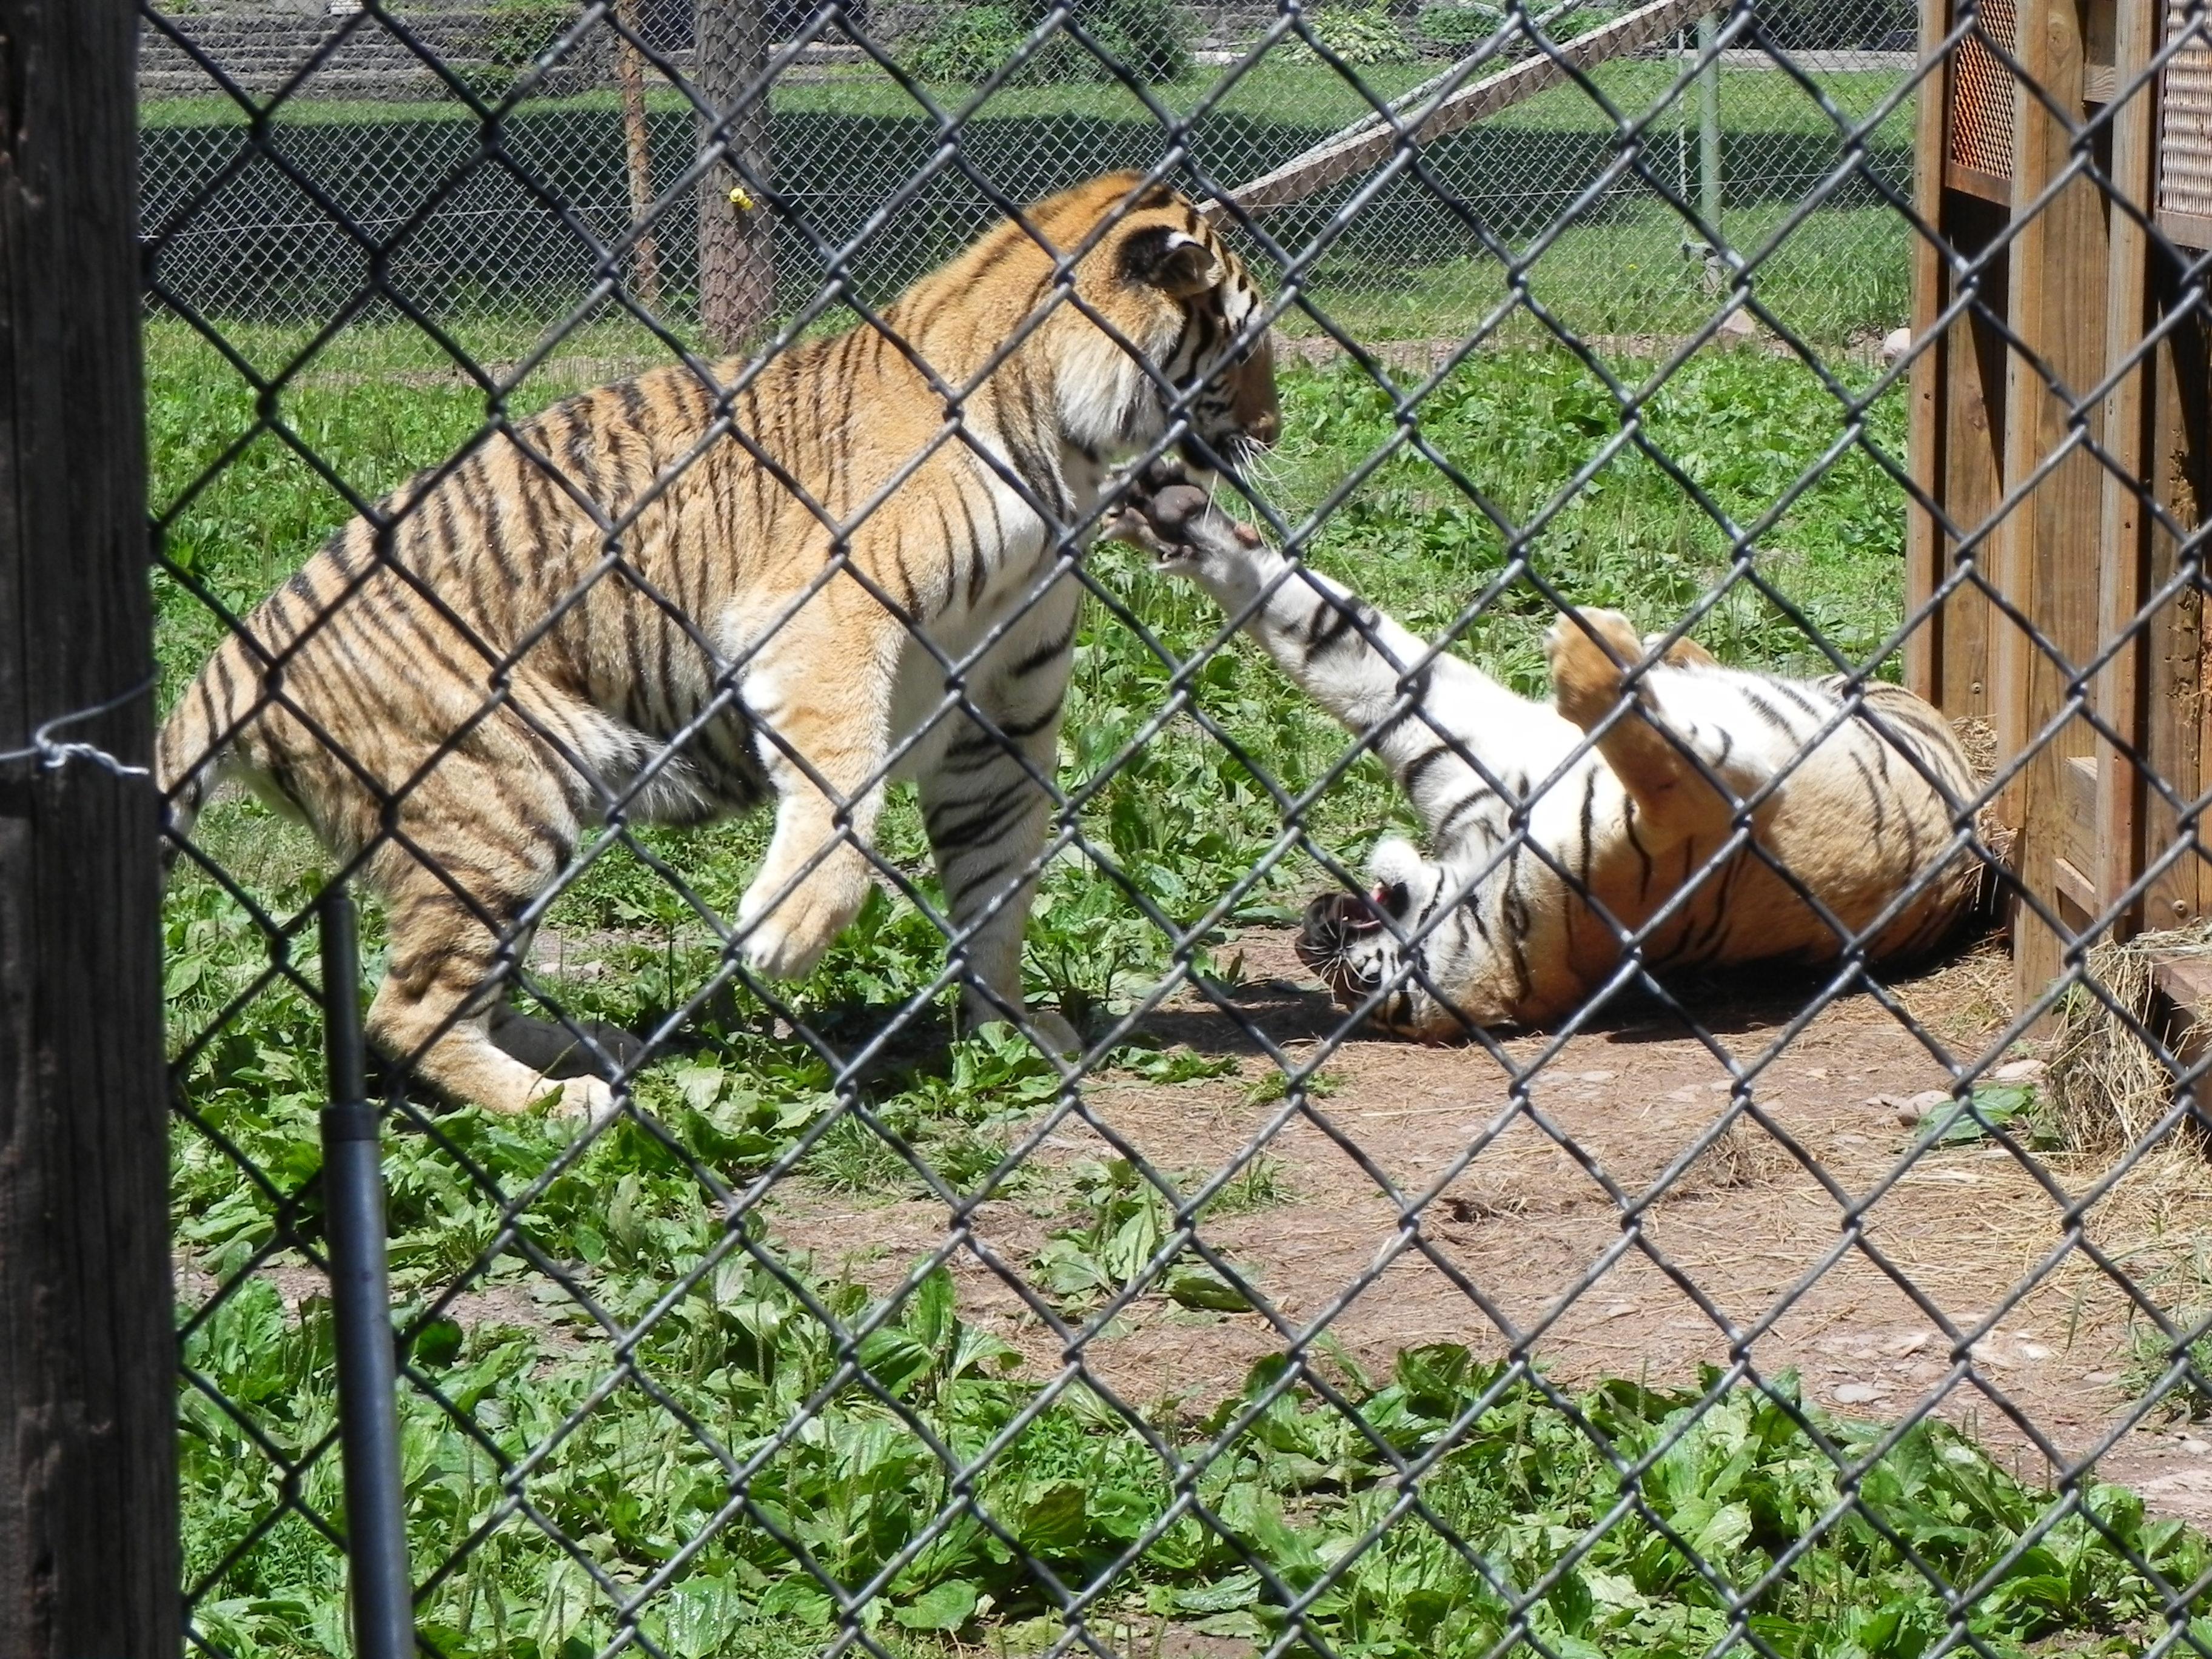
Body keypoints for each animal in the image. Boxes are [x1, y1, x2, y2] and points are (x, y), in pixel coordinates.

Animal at [156, 176, 1282, 1124]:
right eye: (1240, 341)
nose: (1274, 429)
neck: (1069, 459)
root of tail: (236, 654)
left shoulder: (1001, 709)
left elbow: (998, 883)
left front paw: (1010, 1026)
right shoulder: (826, 619)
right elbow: (845, 787)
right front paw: (786, 932)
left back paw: (588, 1047)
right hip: (490, 795)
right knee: (408, 1010)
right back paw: (558, 1103)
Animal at [1114, 473, 1982, 1035]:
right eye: (1364, 983)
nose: (1313, 925)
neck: (1483, 865)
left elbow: (1327, 635)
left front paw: (1183, 523)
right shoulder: (1697, 809)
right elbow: (1643, 741)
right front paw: (1592, 646)